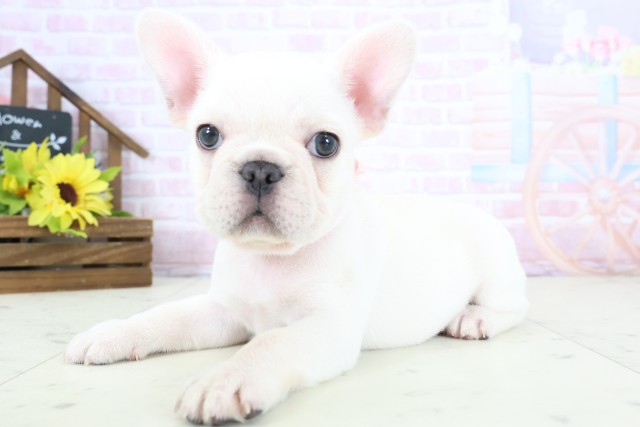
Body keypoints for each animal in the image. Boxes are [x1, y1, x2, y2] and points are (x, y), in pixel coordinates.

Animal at [65, 9, 528, 425]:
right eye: (207, 135)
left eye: (326, 144)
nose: (260, 168)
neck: (271, 259)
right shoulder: (224, 311)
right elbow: (166, 317)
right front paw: (113, 334)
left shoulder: (326, 327)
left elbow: (271, 344)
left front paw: (225, 381)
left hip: (495, 270)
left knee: (515, 309)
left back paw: (475, 317)